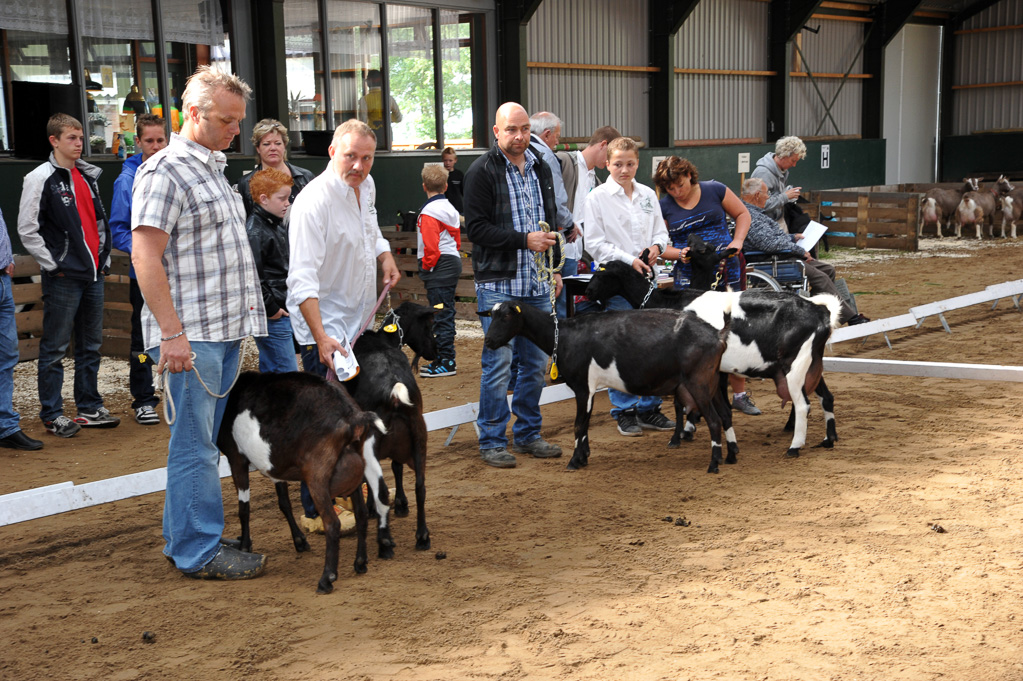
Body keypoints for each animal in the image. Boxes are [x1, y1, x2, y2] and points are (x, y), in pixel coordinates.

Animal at [217, 368, 384, 593]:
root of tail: (352, 416)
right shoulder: (274, 465)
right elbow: (284, 503)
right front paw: (299, 541)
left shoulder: (236, 459)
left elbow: (244, 509)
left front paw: (244, 545)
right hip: (356, 471)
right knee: (362, 514)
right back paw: (360, 563)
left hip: (317, 475)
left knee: (332, 523)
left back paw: (326, 579)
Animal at [345, 300, 437, 556]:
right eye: (428, 325)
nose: (436, 351)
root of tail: (394, 391)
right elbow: (397, 467)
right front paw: (402, 505)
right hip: (419, 435)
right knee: (421, 486)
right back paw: (422, 537)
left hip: (373, 444)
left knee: (381, 488)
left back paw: (384, 542)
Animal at [482, 302, 732, 472]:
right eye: (491, 315)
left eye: (506, 315)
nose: (489, 341)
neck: (563, 336)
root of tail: (717, 335)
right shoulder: (590, 388)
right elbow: (584, 425)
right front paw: (584, 457)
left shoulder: (582, 387)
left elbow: (578, 425)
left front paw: (574, 461)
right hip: (712, 383)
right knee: (725, 414)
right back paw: (730, 456)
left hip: (698, 383)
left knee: (713, 420)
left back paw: (713, 464)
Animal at [585, 237, 838, 456]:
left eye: (602, 273)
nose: (587, 291)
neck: (668, 301)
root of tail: (820, 311)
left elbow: (680, 403)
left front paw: (681, 435)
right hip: (811, 364)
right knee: (826, 397)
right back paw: (828, 439)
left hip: (795, 365)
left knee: (803, 404)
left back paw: (794, 447)